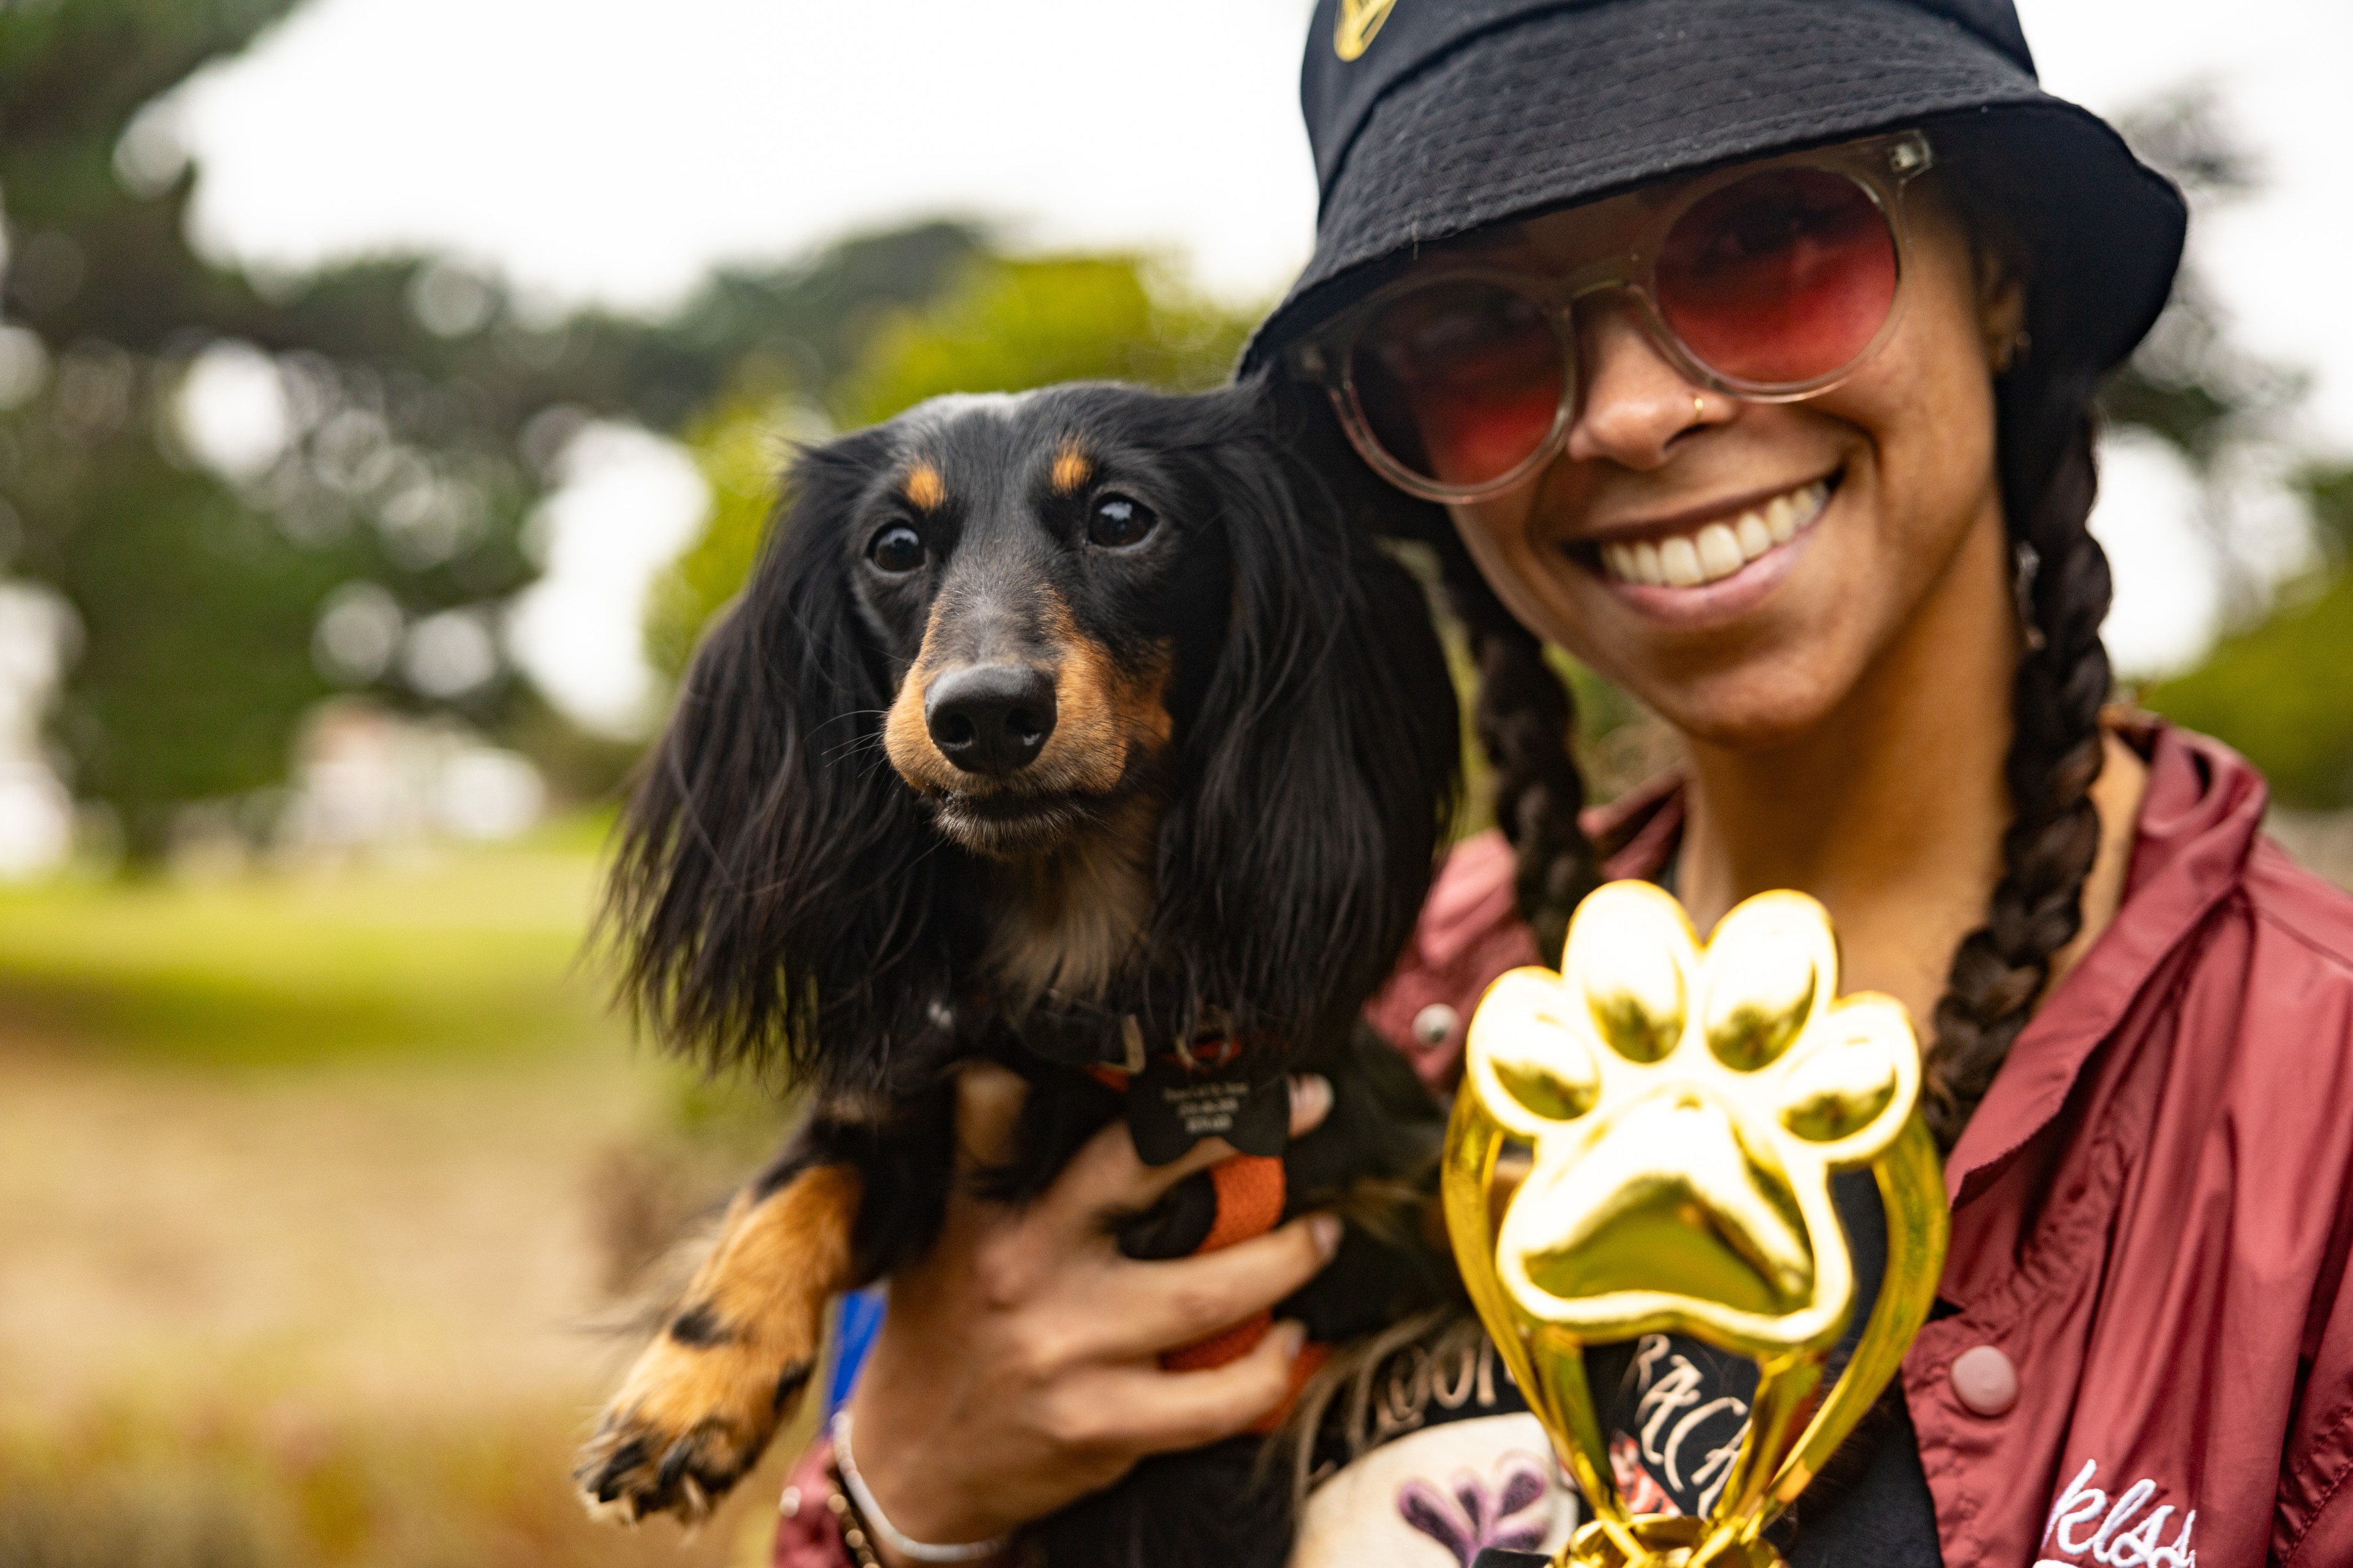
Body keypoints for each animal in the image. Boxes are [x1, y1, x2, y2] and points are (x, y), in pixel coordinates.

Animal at [578, 381, 1458, 1563]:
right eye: (894, 545)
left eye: (1122, 517)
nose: (985, 713)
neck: (1088, 979)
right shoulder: (914, 1111)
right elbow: (794, 1181)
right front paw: (683, 1395)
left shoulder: (1388, 1173)